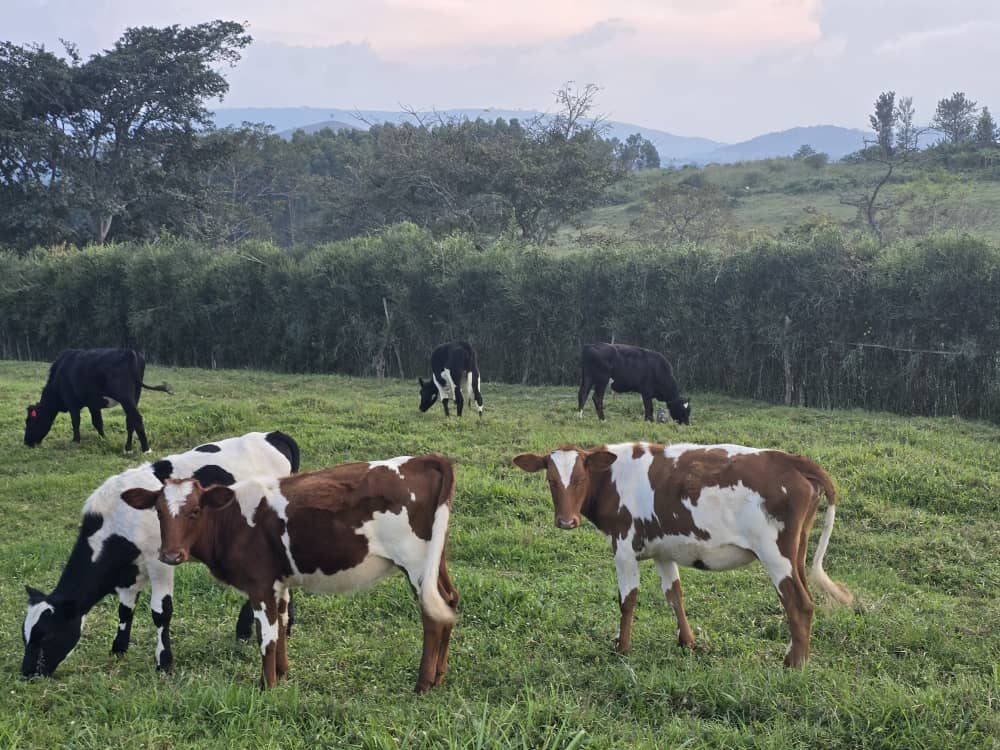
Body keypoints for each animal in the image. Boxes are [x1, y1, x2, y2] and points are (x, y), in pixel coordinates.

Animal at [22, 431, 299, 678]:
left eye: (46, 634)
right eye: (25, 635)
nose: (27, 673)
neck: (116, 520)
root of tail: (274, 435)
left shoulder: (161, 561)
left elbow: (160, 611)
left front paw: (164, 662)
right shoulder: (128, 570)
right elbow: (125, 609)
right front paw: (118, 648)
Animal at [24, 348, 173, 453]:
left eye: (30, 422)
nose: (26, 443)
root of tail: (129, 352)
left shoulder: (72, 403)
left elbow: (76, 422)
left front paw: (76, 441)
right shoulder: (93, 404)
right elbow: (98, 422)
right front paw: (104, 439)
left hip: (125, 397)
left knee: (136, 418)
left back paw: (146, 449)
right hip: (135, 395)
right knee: (130, 420)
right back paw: (128, 448)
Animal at [121, 453, 459, 692]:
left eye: (195, 511)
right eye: (159, 512)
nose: (170, 555)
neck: (232, 520)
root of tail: (422, 459)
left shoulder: (259, 585)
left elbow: (267, 636)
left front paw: (266, 686)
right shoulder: (279, 583)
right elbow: (282, 626)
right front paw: (282, 675)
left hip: (414, 563)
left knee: (431, 616)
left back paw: (422, 684)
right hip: (434, 560)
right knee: (449, 602)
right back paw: (440, 676)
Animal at [513, 442, 852, 667]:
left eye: (581, 479)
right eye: (551, 480)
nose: (566, 521)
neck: (614, 477)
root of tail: (793, 460)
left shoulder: (623, 546)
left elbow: (628, 600)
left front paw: (622, 648)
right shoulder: (663, 549)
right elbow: (674, 594)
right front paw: (688, 643)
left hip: (775, 553)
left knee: (799, 604)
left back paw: (795, 665)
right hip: (797, 552)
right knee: (804, 597)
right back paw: (793, 656)